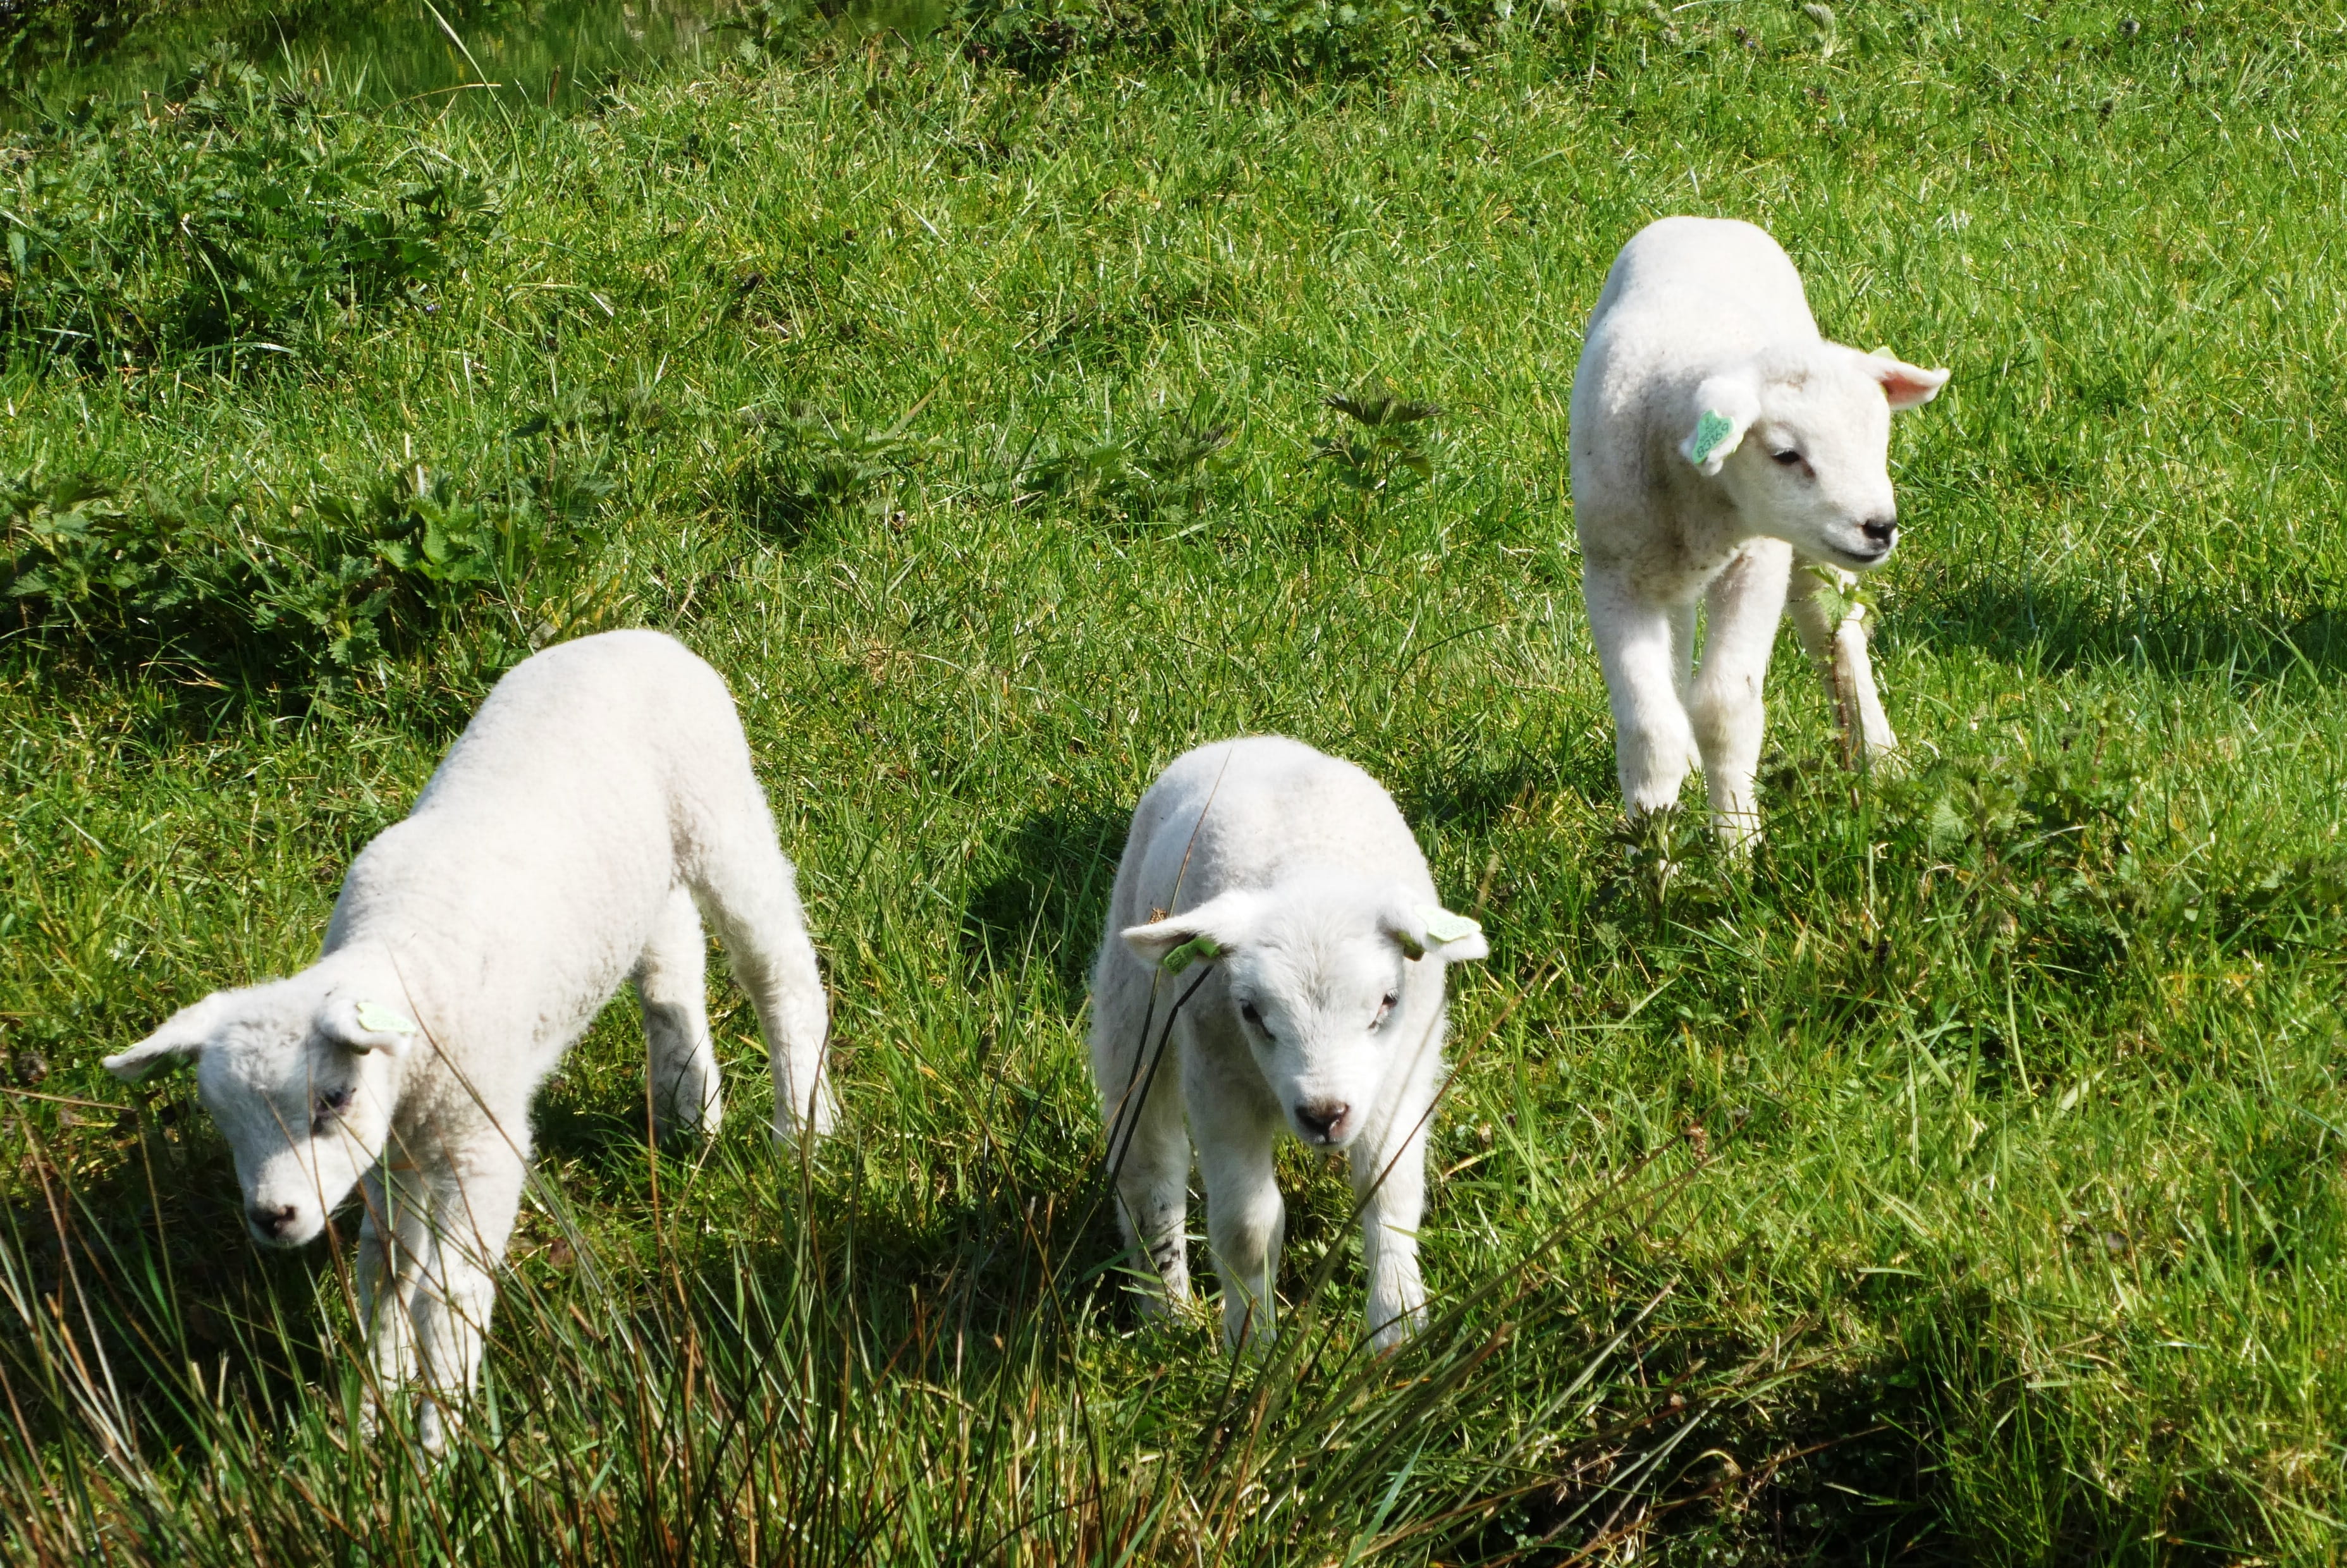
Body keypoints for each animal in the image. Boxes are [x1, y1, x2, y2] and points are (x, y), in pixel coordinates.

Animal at [103, 629, 834, 1451]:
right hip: (641, 869)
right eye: (223, 1123)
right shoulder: (399, 1152)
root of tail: (636, 634)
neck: (403, 950)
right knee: (670, 957)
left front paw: (436, 1445)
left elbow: (445, 1298)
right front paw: (371, 1421)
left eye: (333, 1097)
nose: (274, 1216)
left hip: (719, 808)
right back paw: (687, 1109)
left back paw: (804, 1128)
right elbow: (385, 1275)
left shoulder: (479, 1140)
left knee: (779, 969)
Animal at [1088, 736, 1489, 1352]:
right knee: (1147, 1164)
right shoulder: (1219, 1082)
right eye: (1251, 1012)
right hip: (1133, 1005)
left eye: (1388, 1002)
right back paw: (1165, 1311)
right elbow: (1248, 1227)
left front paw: (1397, 1328)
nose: (1324, 1114)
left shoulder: (1399, 1075)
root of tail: (1247, 739)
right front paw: (1250, 1344)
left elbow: (1389, 1193)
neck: (1311, 869)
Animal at [1568, 215, 1950, 844]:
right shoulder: (1611, 574)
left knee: (1836, 639)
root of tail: (1706, 219)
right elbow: (1651, 730)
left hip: (1807, 554)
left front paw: (1737, 846)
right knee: (1680, 637)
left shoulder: (1758, 561)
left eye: (1881, 438)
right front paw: (1654, 852)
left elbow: (1726, 708)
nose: (1880, 527)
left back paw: (1883, 761)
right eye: (1786, 455)